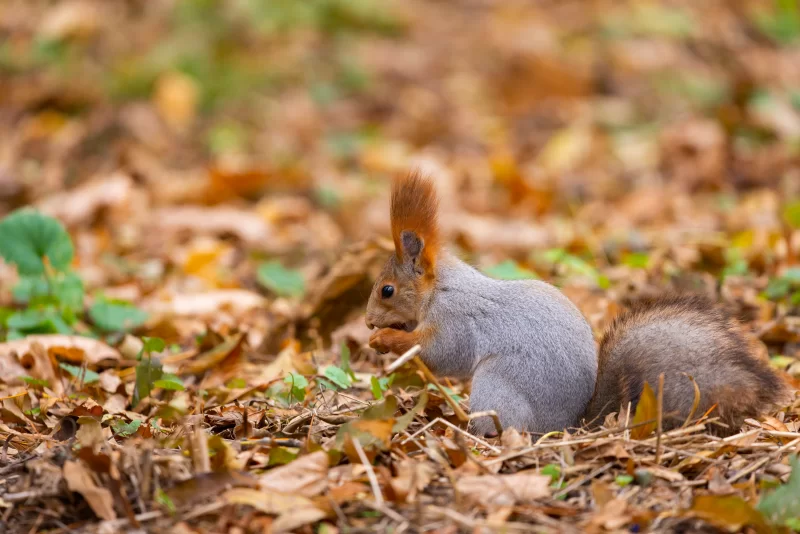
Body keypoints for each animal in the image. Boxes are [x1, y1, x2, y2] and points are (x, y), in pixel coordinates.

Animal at [365, 171, 790, 437]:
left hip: (498, 383)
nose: (368, 321)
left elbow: (442, 353)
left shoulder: (458, 320)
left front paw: (387, 340)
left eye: (387, 290)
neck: (442, 288)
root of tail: (572, 425)